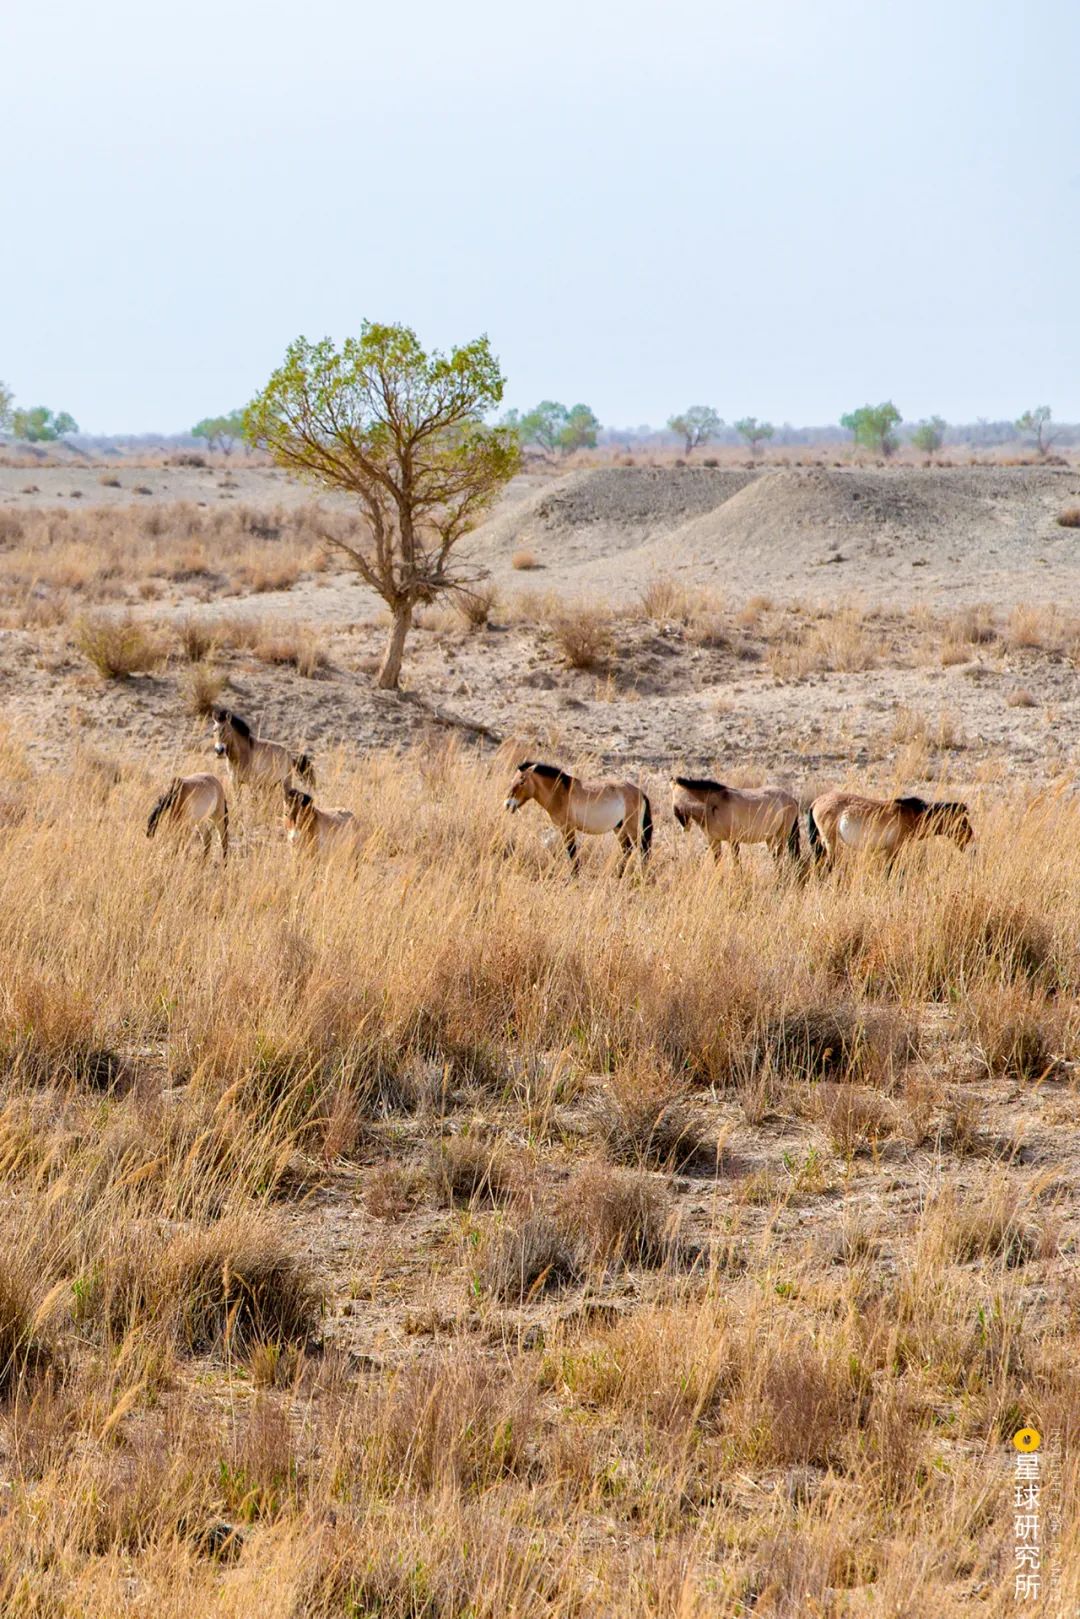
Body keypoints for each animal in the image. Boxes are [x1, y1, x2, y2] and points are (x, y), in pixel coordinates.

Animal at [505, 757, 650, 874]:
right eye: (512, 780)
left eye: (522, 782)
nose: (507, 804)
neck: (560, 791)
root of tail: (640, 793)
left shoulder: (568, 828)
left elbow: (572, 852)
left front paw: (574, 877)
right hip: (619, 828)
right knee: (628, 850)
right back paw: (618, 875)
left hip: (632, 829)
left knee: (643, 850)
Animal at [670, 773, 799, 867]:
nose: (685, 827)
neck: (712, 806)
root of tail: (792, 798)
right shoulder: (714, 841)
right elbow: (718, 865)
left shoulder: (733, 841)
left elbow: (737, 865)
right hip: (770, 838)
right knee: (776, 859)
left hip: (781, 837)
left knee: (779, 859)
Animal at [806, 786, 977, 874]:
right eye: (963, 823)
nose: (972, 839)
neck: (912, 814)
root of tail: (816, 802)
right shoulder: (893, 849)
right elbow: (889, 871)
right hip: (830, 841)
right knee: (829, 865)